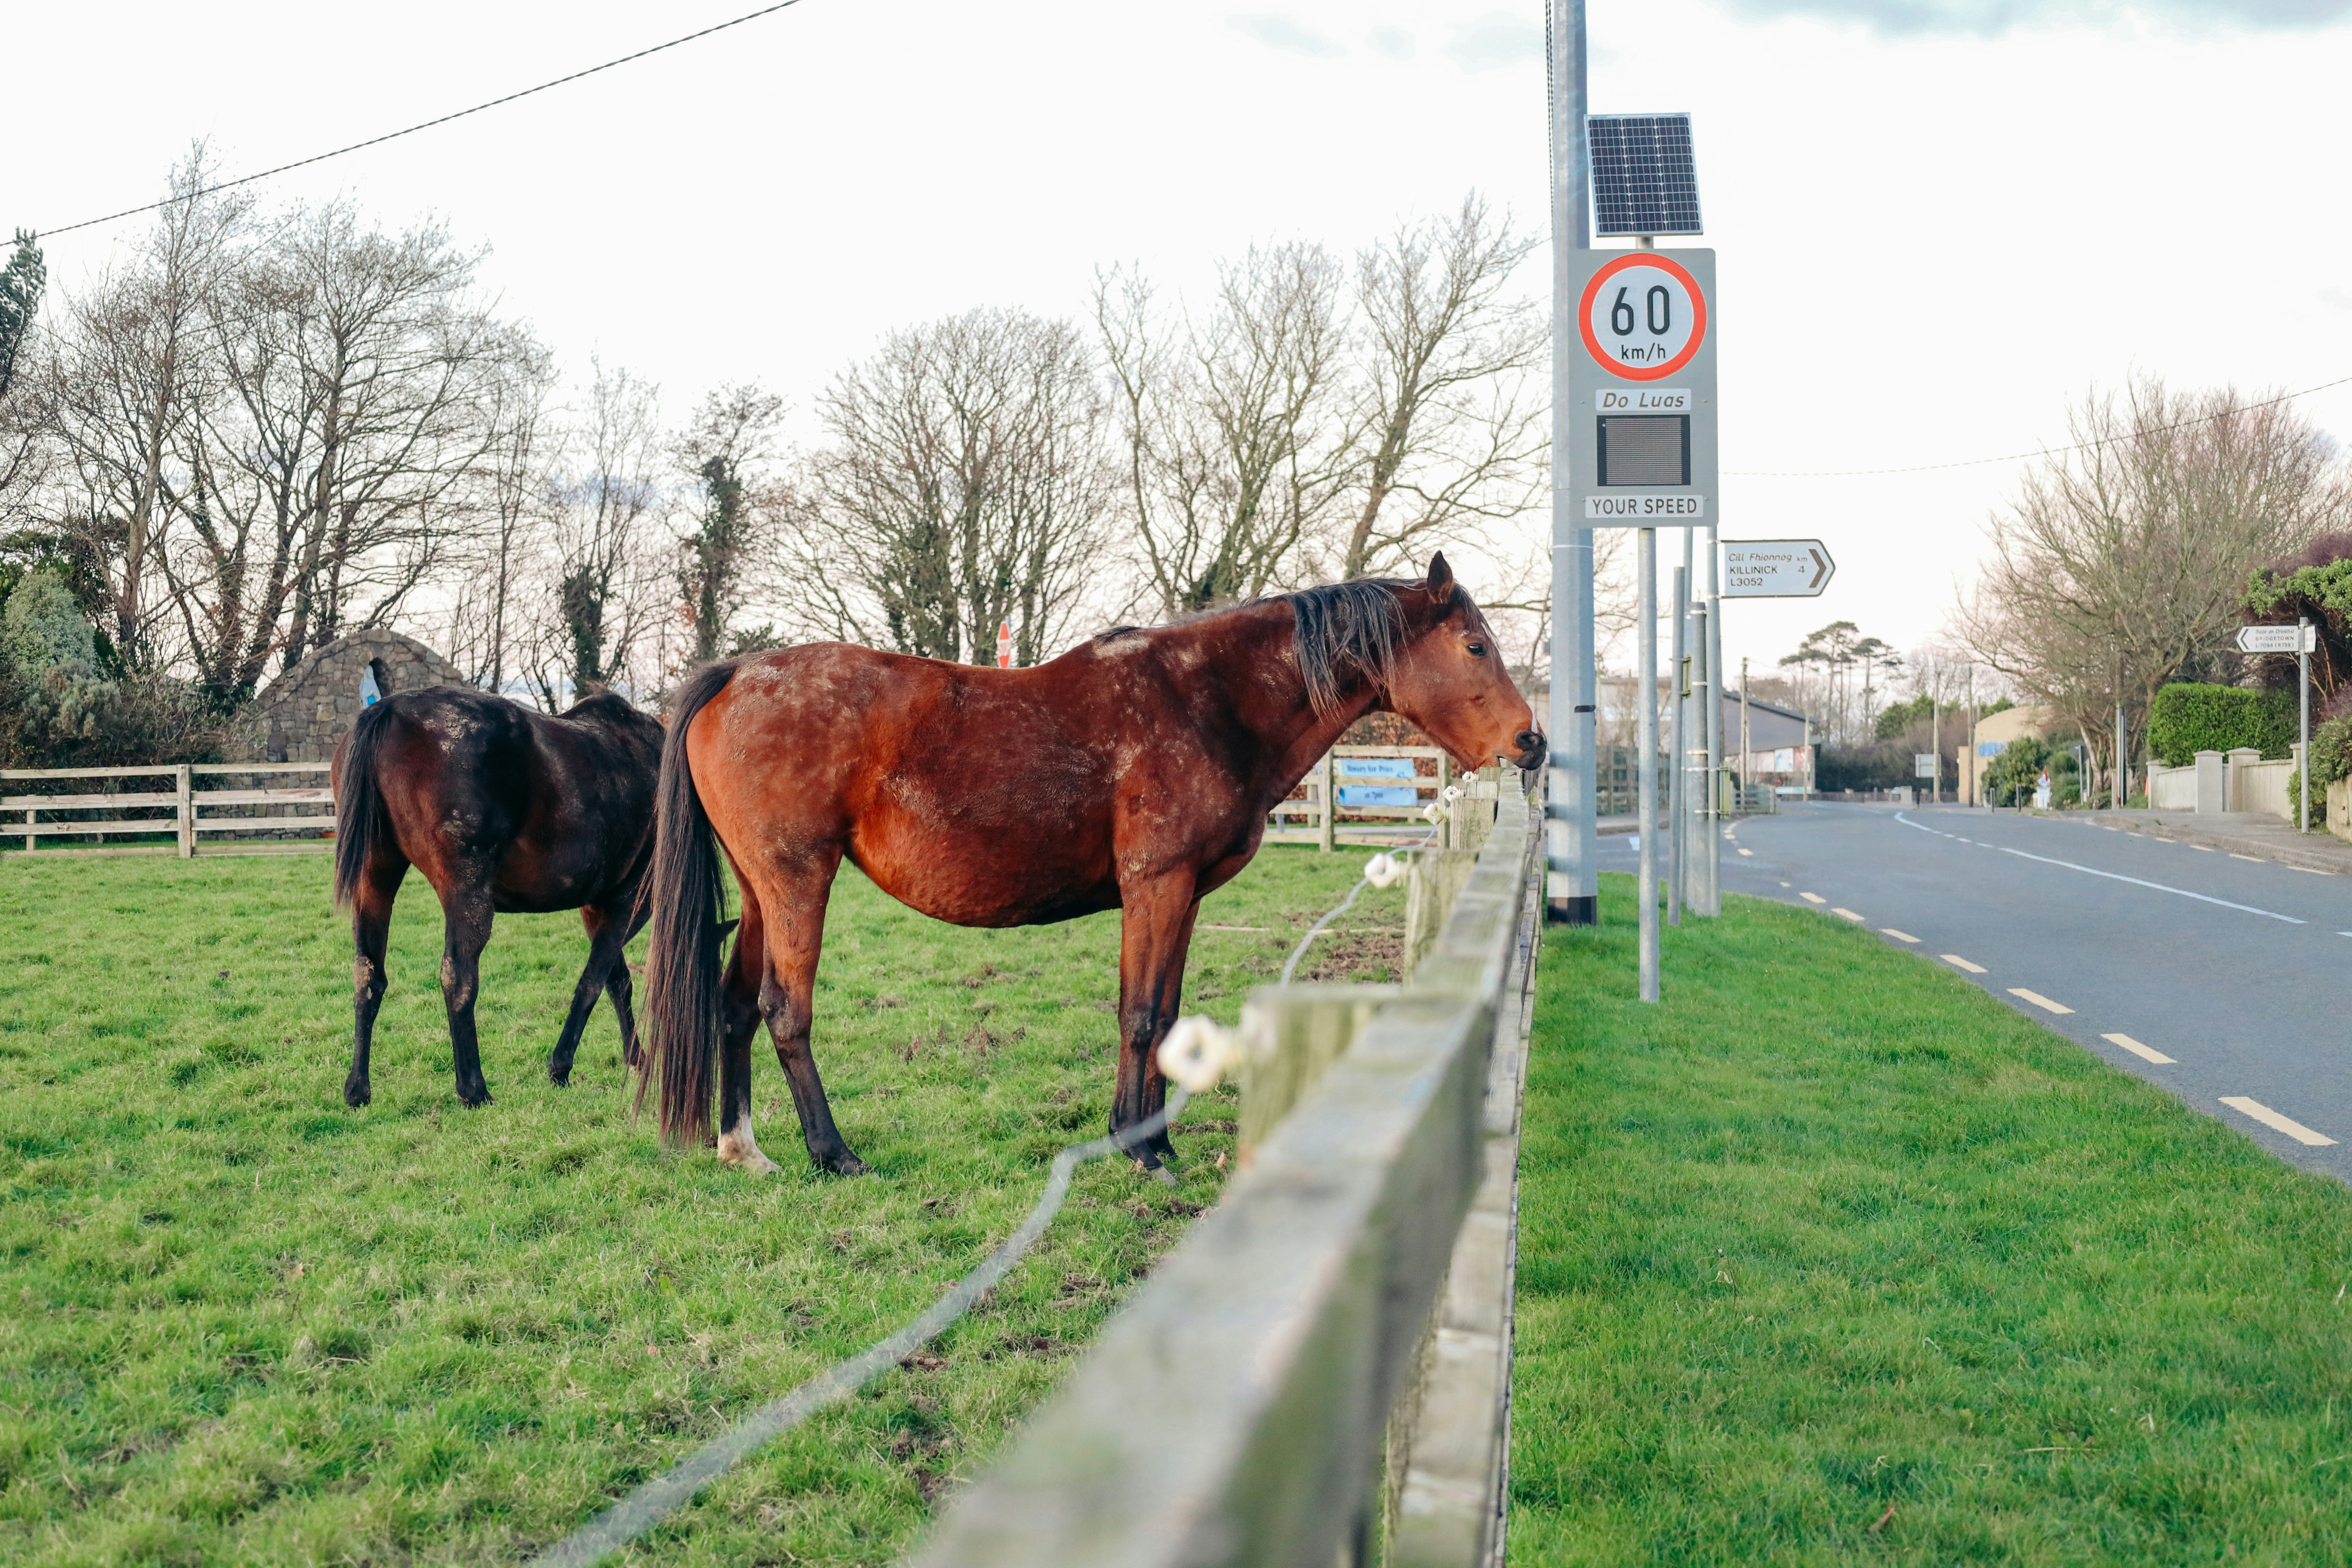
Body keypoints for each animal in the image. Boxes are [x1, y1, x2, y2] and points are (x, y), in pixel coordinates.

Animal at [331, 686, 665, 1108]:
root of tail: (388, 708)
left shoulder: (597, 907)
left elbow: (616, 981)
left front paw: (636, 1059)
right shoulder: (628, 902)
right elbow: (593, 982)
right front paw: (562, 1066)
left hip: (373, 882)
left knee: (368, 975)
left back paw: (358, 1088)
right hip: (469, 894)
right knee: (458, 977)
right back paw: (473, 1089)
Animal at [638, 554, 1545, 1177]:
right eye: (1475, 645)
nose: (1530, 742)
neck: (1206, 702)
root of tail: (736, 675)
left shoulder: (1184, 897)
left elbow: (1165, 1014)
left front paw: (1153, 1139)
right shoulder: (1157, 885)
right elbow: (1140, 1015)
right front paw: (1140, 1151)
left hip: (764, 891)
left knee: (734, 1006)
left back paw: (744, 1148)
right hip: (800, 882)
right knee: (784, 1012)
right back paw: (834, 1153)